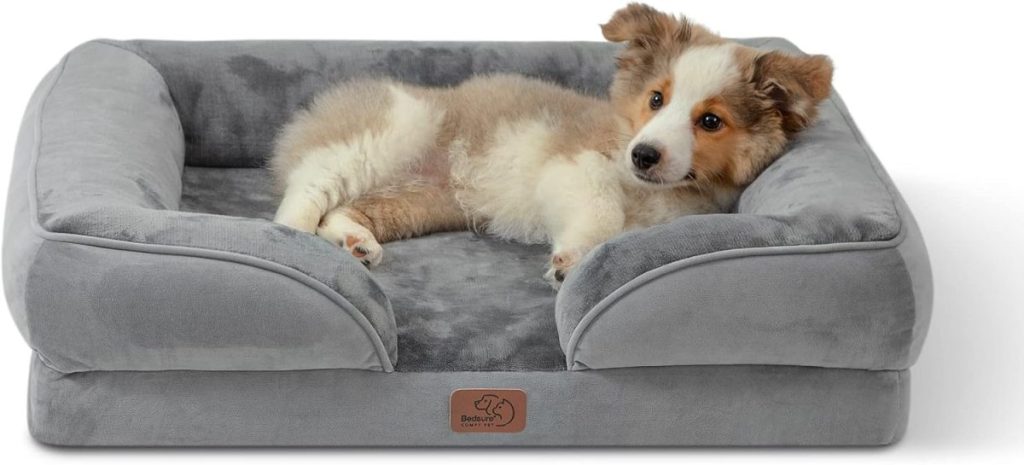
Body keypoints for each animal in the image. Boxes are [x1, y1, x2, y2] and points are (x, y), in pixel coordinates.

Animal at [270, 2, 831, 286]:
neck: (654, 190)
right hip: (389, 131)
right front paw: (572, 260)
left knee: (341, 210)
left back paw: (355, 242)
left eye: (711, 121)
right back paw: (294, 246)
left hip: (424, 202)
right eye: (656, 98)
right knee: (306, 195)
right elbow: (602, 212)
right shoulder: (575, 164)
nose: (643, 155)